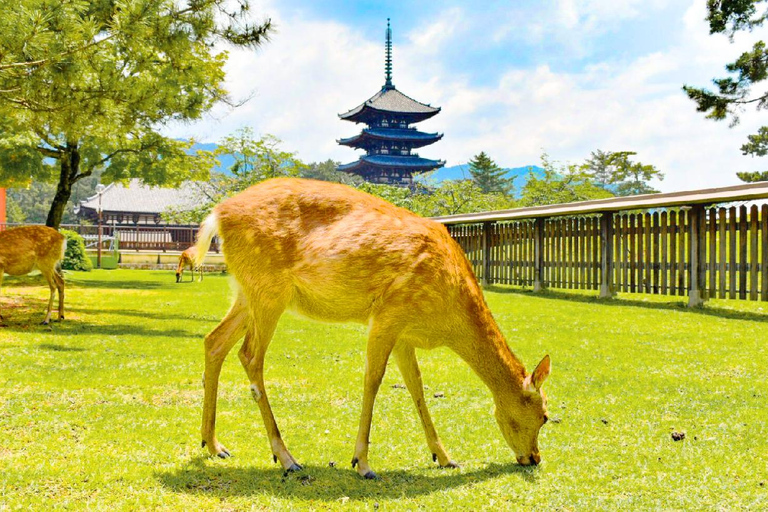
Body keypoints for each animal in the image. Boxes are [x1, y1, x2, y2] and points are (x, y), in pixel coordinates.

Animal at [194, 178, 551, 479]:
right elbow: (373, 380)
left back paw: (214, 445)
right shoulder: (388, 315)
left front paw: (445, 457)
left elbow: (416, 386)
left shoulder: (405, 333)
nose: (534, 458)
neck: (447, 320)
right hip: (268, 291)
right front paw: (362, 463)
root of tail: (216, 215)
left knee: (214, 340)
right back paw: (286, 458)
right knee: (250, 355)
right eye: (545, 415)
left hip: (246, 292)